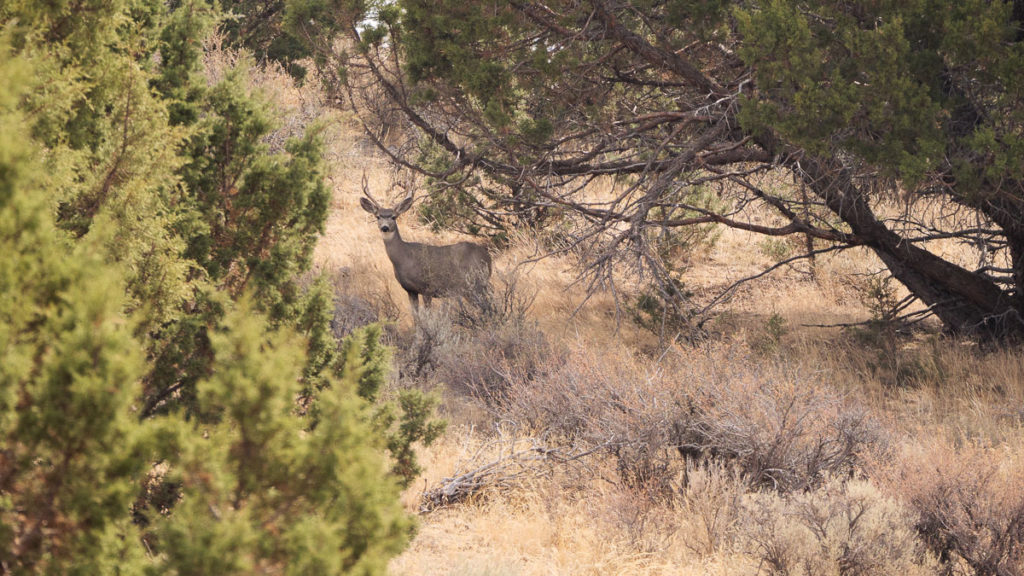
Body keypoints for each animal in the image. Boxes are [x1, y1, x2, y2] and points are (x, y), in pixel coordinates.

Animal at [360, 180, 491, 311]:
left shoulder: (428, 287)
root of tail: (488, 256)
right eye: (378, 217)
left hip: (476, 283)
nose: (385, 227)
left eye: (393, 217)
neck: (405, 258)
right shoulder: (410, 290)